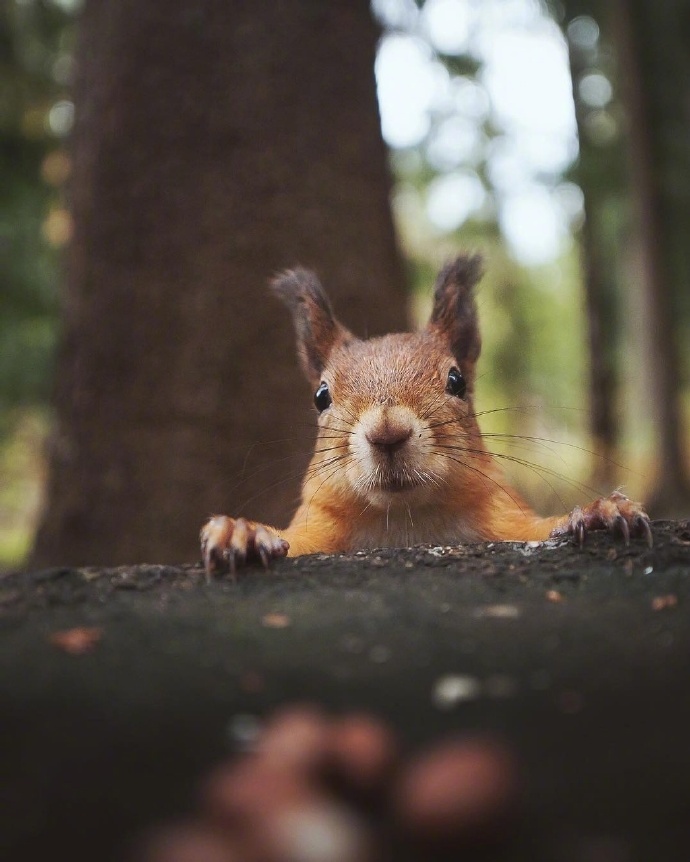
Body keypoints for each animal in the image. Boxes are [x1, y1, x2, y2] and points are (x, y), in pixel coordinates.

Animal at [200, 253, 652, 572]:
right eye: (320, 396)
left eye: (456, 381)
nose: (387, 433)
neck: (407, 519)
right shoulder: (317, 527)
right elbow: (296, 541)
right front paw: (243, 531)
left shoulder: (508, 520)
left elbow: (541, 529)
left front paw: (600, 511)